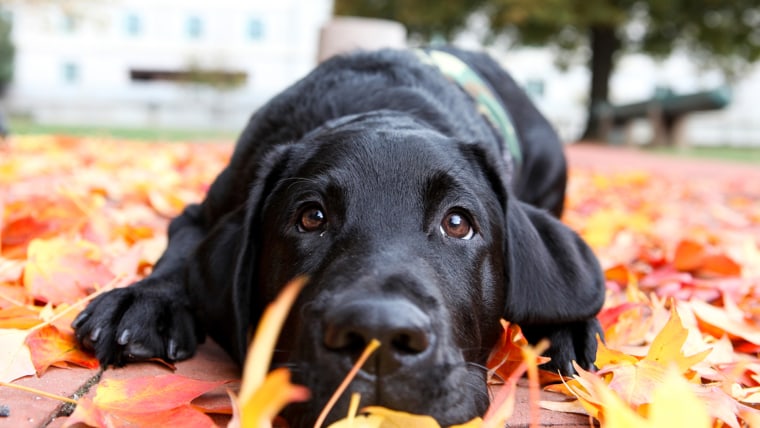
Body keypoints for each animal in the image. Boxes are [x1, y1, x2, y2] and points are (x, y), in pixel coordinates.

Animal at [72, 48, 604, 426]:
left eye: (458, 223)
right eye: (311, 217)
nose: (380, 335)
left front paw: (568, 325)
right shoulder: (203, 211)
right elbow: (179, 253)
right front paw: (144, 300)